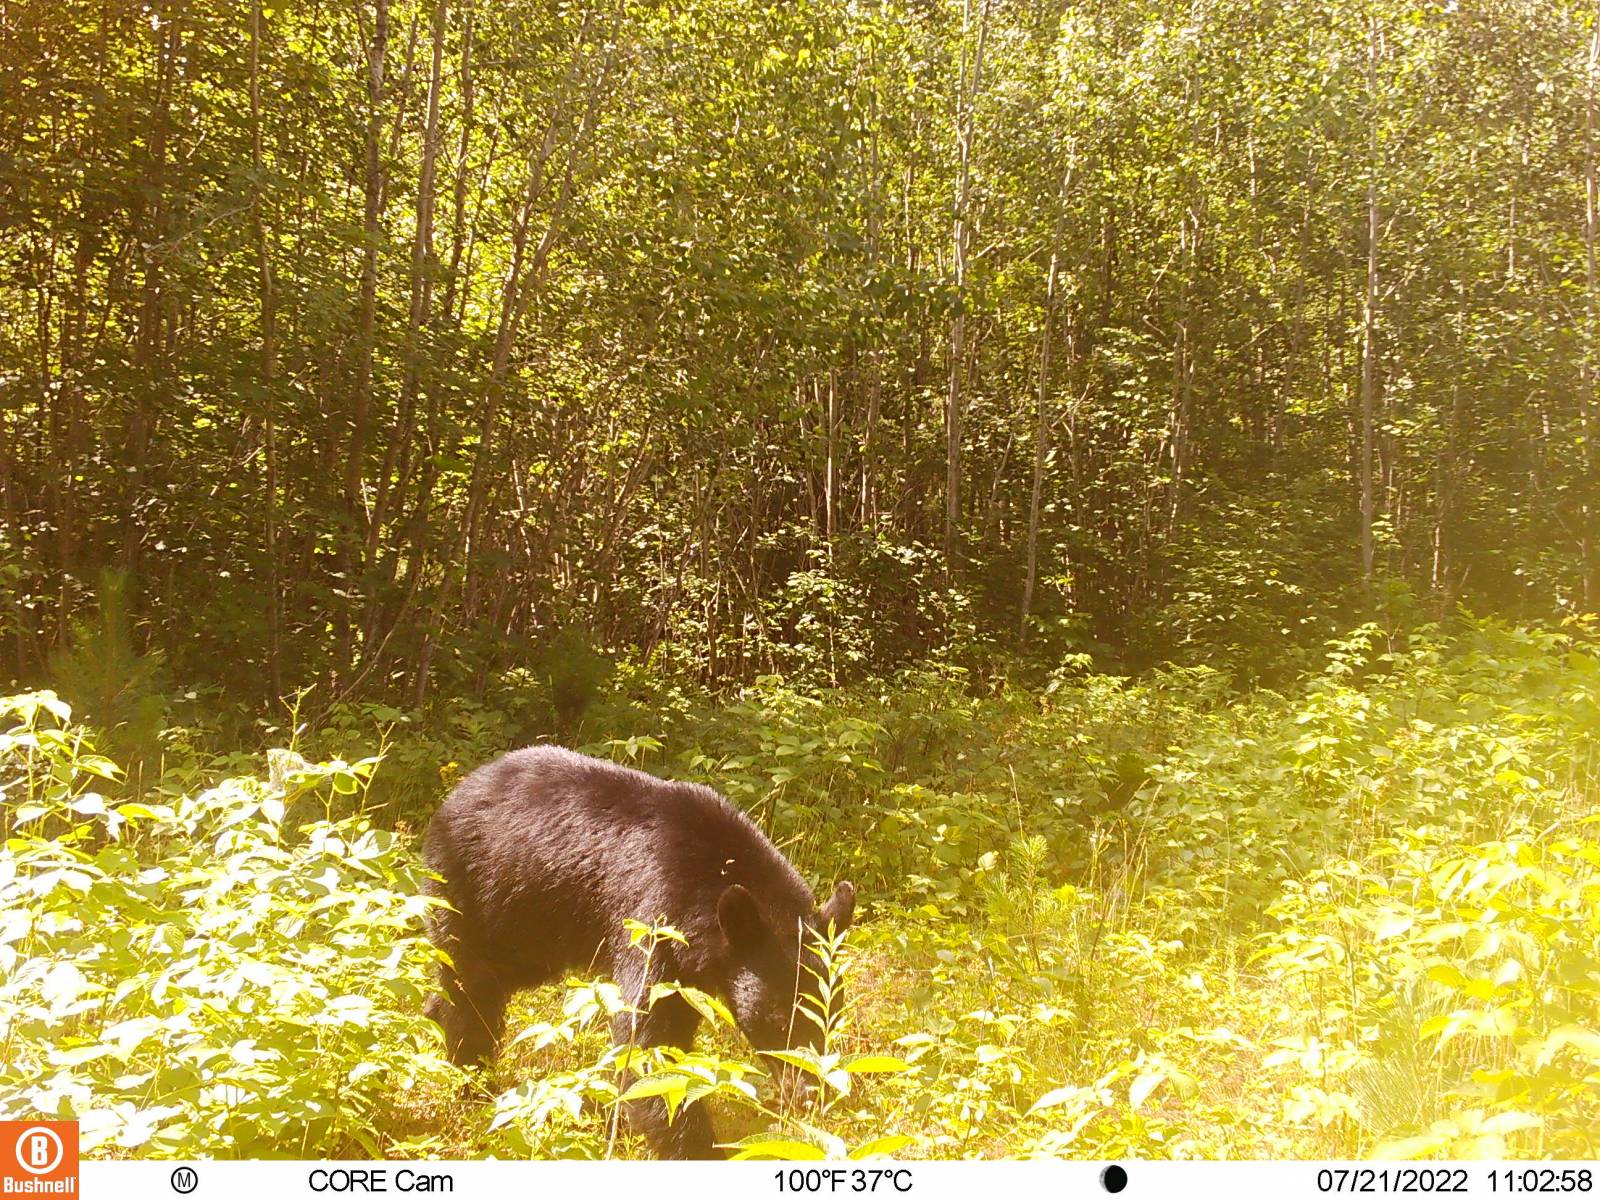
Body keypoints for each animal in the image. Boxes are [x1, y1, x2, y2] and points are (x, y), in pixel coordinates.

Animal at [419, 748, 857, 1158]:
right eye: (780, 1020)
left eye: (829, 1018)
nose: (810, 1093)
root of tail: (455, 795)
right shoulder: (654, 920)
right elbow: (649, 1045)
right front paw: (700, 1150)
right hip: (477, 891)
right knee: (471, 987)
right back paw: (473, 1081)